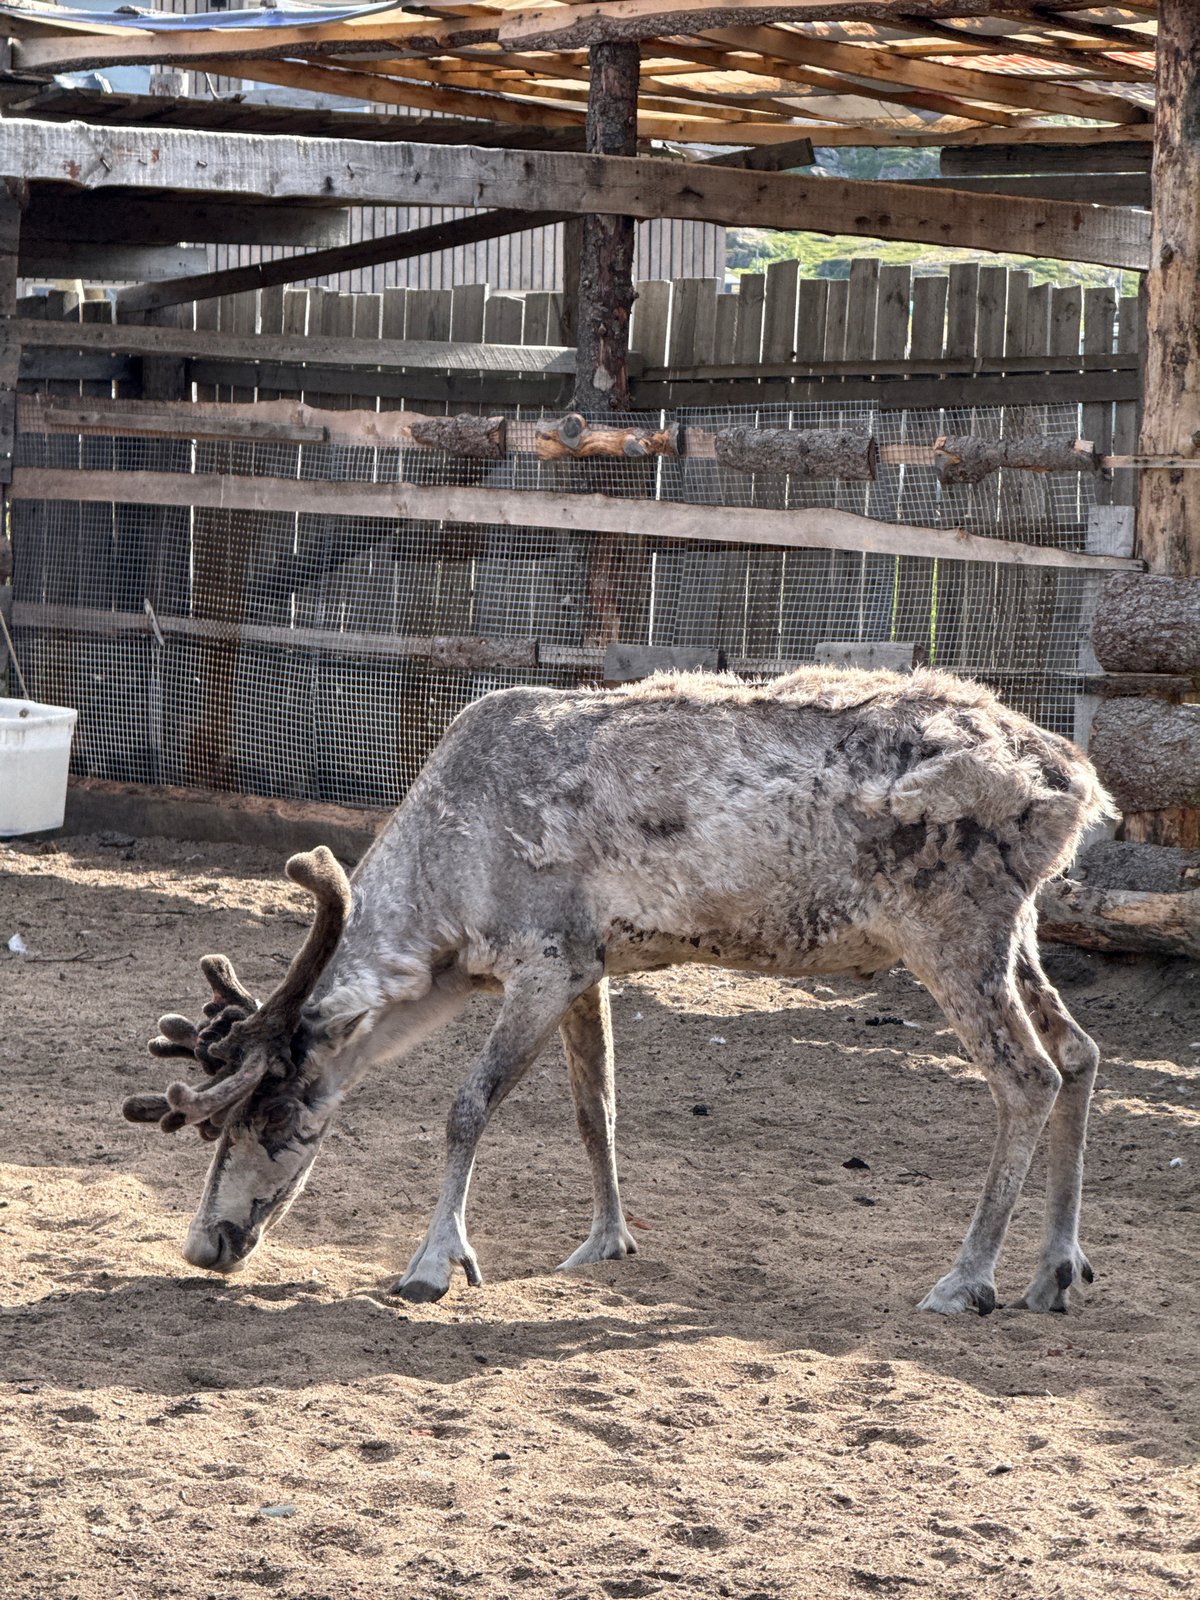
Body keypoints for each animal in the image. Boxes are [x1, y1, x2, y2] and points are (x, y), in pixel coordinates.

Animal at [122, 665, 1113, 1315]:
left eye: (272, 1111)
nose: (203, 1244)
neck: (446, 918)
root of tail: (1077, 783)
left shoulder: (544, 958)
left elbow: (468, 1106)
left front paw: (436, 1262)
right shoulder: (590, 966)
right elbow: (594, 1107)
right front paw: (605, 1242)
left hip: (951, 930)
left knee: (1027, 1075)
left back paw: (968, 1279)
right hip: (1017, 930)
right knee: (1079, 1051)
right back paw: (1056, 1270)